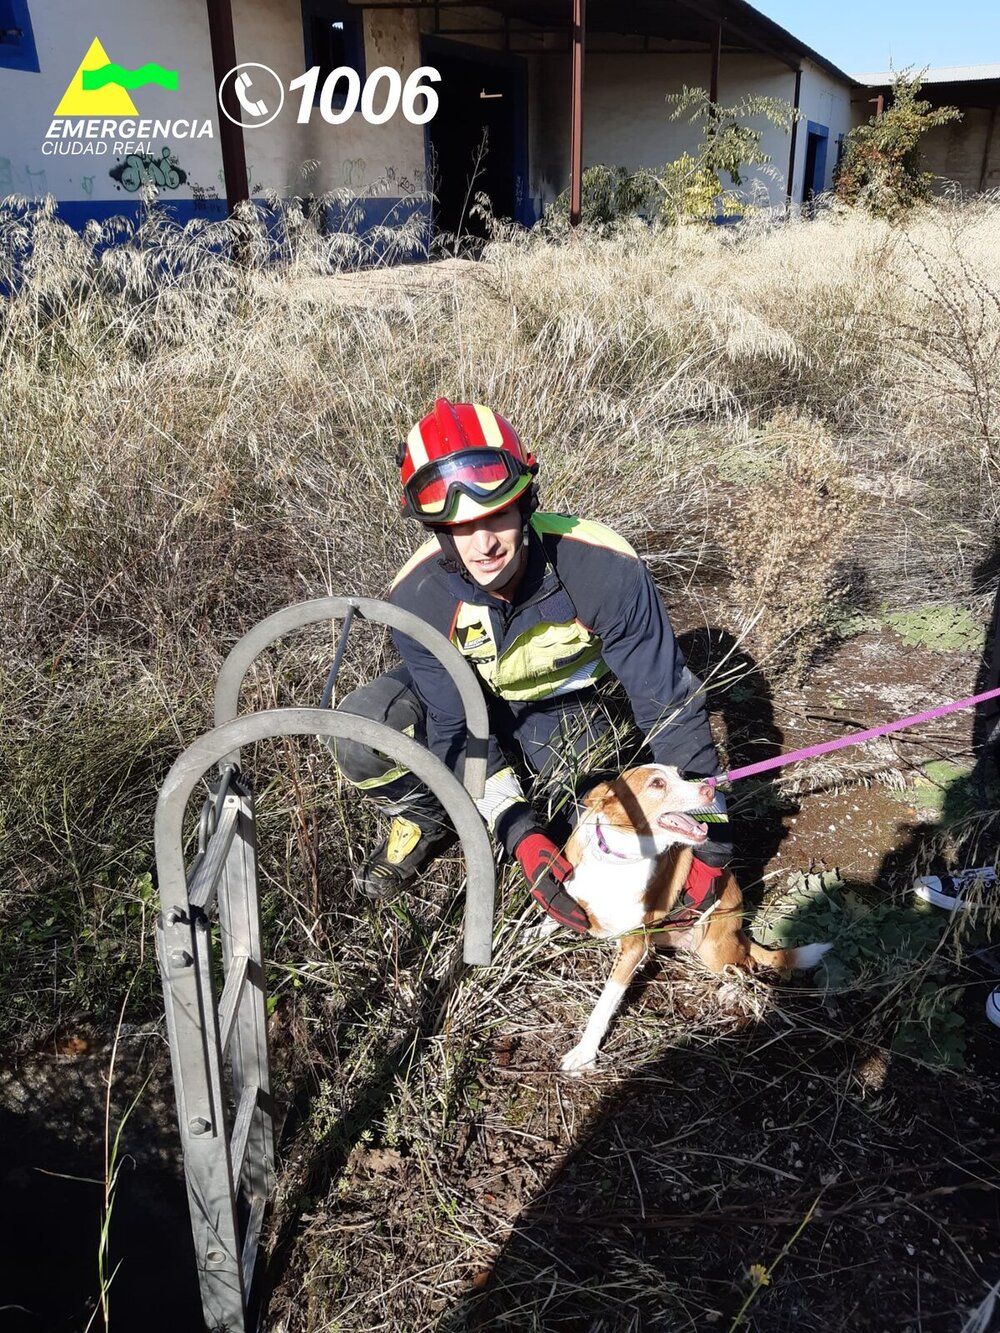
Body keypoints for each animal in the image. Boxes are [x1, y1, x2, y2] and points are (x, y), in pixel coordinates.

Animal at [544, 767, 832, 1066]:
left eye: (679, 774)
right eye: (657, 783)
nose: (710, 788)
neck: (616, 859)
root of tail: (740, 931)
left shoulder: (635, 945)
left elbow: (604, 1005)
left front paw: (585, 1053)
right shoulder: (565, 901)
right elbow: (542, 924)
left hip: (713, 950)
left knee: (746, 964)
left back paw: (731, 990)